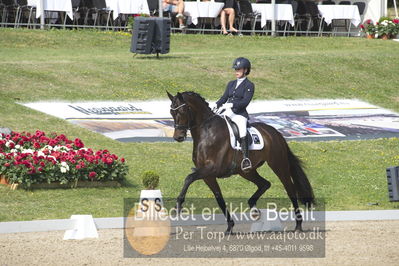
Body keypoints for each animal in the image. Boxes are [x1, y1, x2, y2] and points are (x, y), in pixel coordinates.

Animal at [167, 91, 314, 233]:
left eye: (183, 110)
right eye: (171, 112)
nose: (178, 137)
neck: (207, 133)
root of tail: (275, 133)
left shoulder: (212, 168)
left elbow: (189, 178)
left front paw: (178, 206)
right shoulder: (208, 175)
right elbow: (219, 198)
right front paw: (229, 227)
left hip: (278, 164)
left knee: (290, 190)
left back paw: (298, 225)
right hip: (246, 171)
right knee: (265, 184)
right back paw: (254, 209)